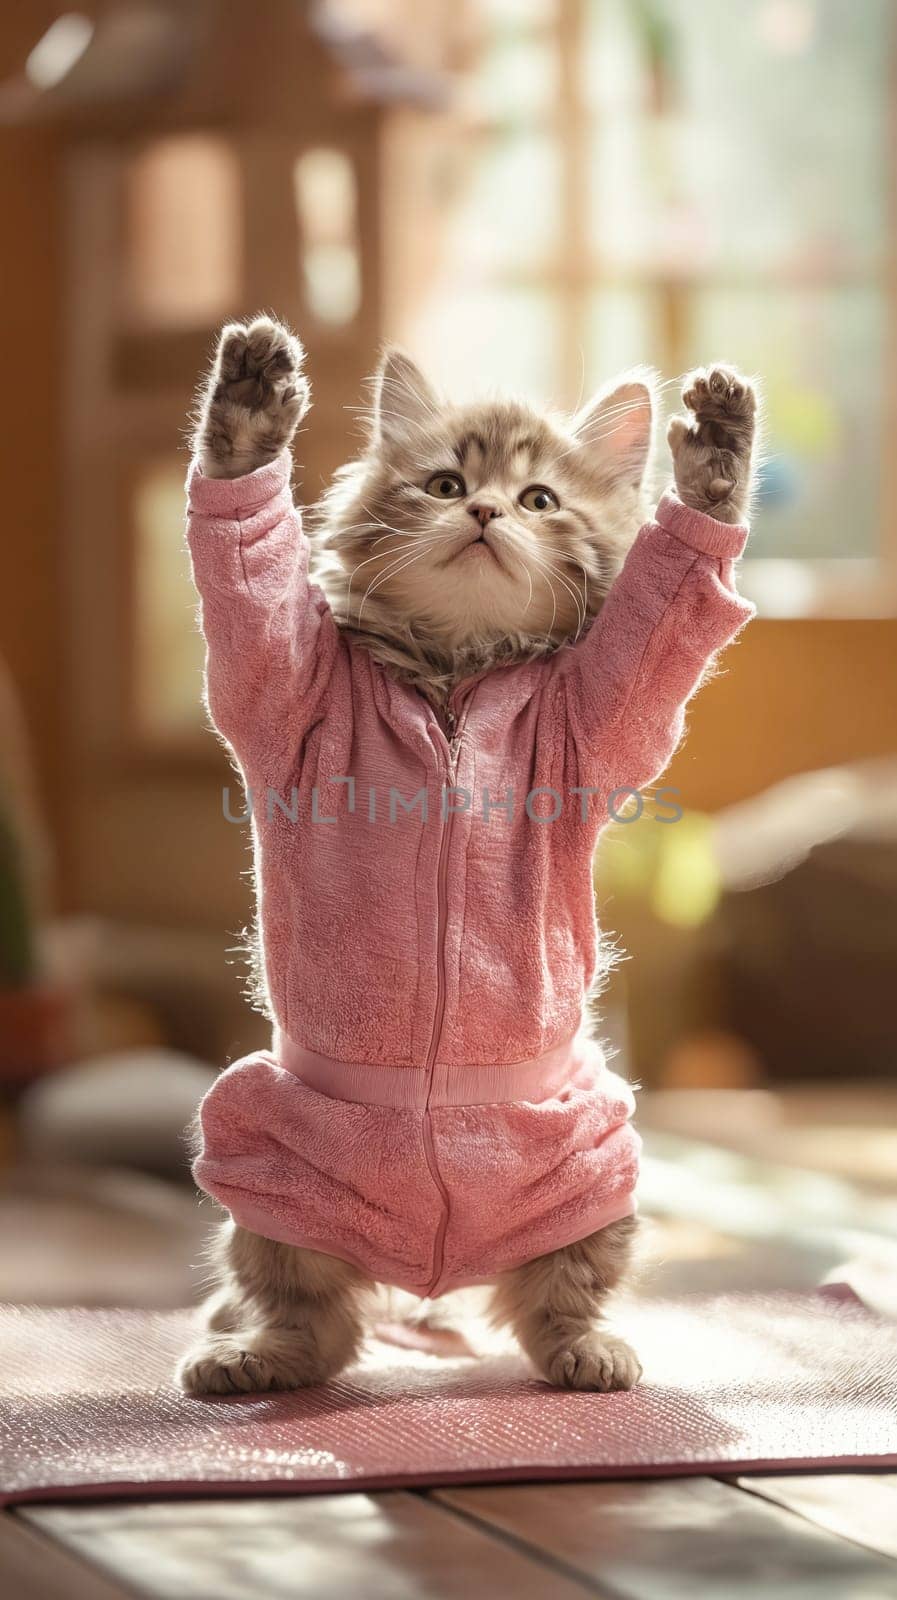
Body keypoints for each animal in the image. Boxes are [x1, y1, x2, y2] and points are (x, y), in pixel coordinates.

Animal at [176, 318, 754, 1395]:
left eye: (538, 501)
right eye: (446, 484)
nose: (484, 511)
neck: (453, 679)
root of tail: (433, 1268)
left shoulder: (606, 710)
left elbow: (674, 585)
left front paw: (716, 454)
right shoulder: (278, 677)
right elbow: (245, 549)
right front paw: (250, 401)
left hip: (598, 1161)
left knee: (554, 1303)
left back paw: (590, 1351)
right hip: (260, 1159)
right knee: (313, 1319)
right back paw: (249, 1354)